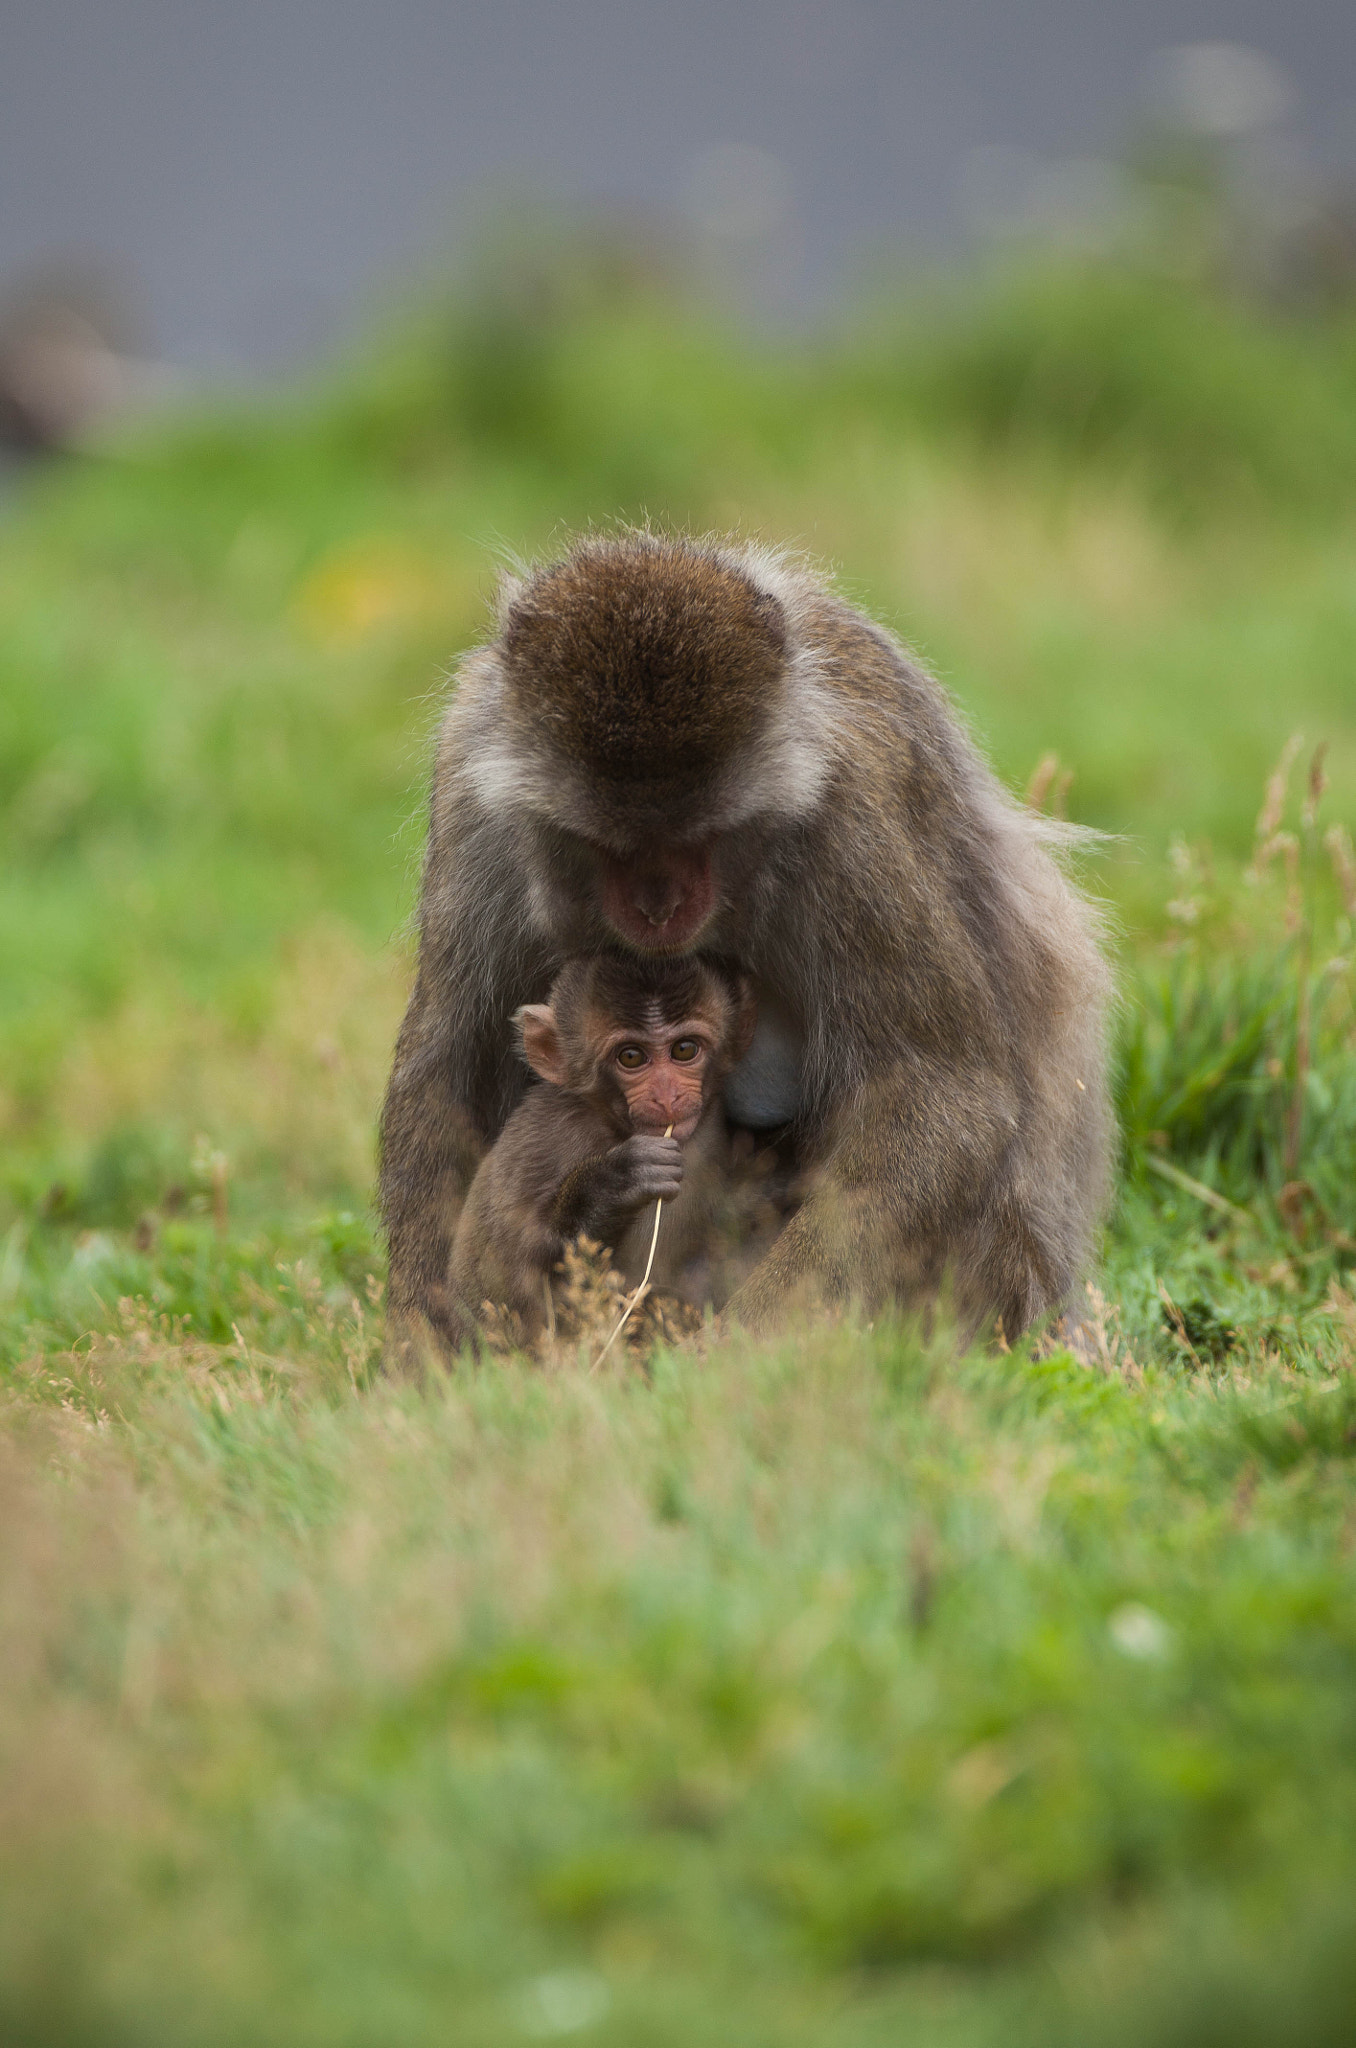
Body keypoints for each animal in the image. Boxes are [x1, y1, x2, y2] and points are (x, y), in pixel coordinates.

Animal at [450, 950, 757, 1335]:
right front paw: (613, 1184)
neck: (613, 1125)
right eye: (631, 1056)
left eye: (684, 1050)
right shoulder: (550, 1133)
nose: (666, 1096)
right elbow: (507, 1270)